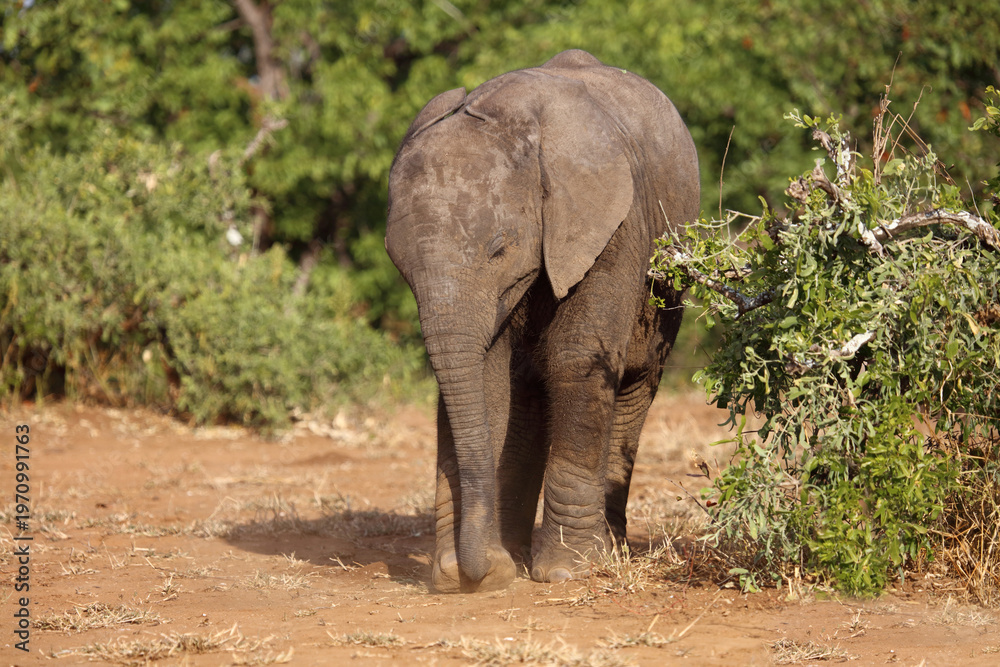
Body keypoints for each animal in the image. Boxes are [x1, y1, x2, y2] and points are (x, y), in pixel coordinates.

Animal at [385, 49, 699, 593]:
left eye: (499, 249)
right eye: (399, 265)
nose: (476, 574)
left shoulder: (615, 225)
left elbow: (578, 358)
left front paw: (567, 570)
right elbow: (483, 377)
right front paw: (466, 573)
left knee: (636, 384)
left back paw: (609, 552)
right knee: (524, 389)